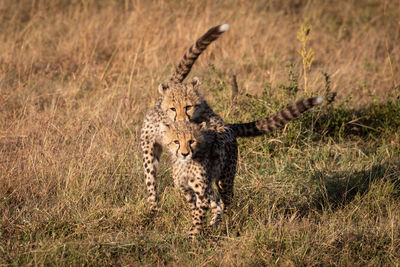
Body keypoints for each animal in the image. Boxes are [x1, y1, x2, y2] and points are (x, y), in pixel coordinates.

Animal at [161, 96, 324, 237]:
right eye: (176, 141)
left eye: (191, 141)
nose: (184, 153)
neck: (185, 164)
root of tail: (226, 125)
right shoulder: (187, 191)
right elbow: (195, 210)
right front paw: (195, 233)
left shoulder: (201, 191)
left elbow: (198, 215)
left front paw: (193, 237)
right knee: (217, 201)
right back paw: (215, 223)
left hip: (225, 179)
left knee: (226, 202)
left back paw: (225, 223)